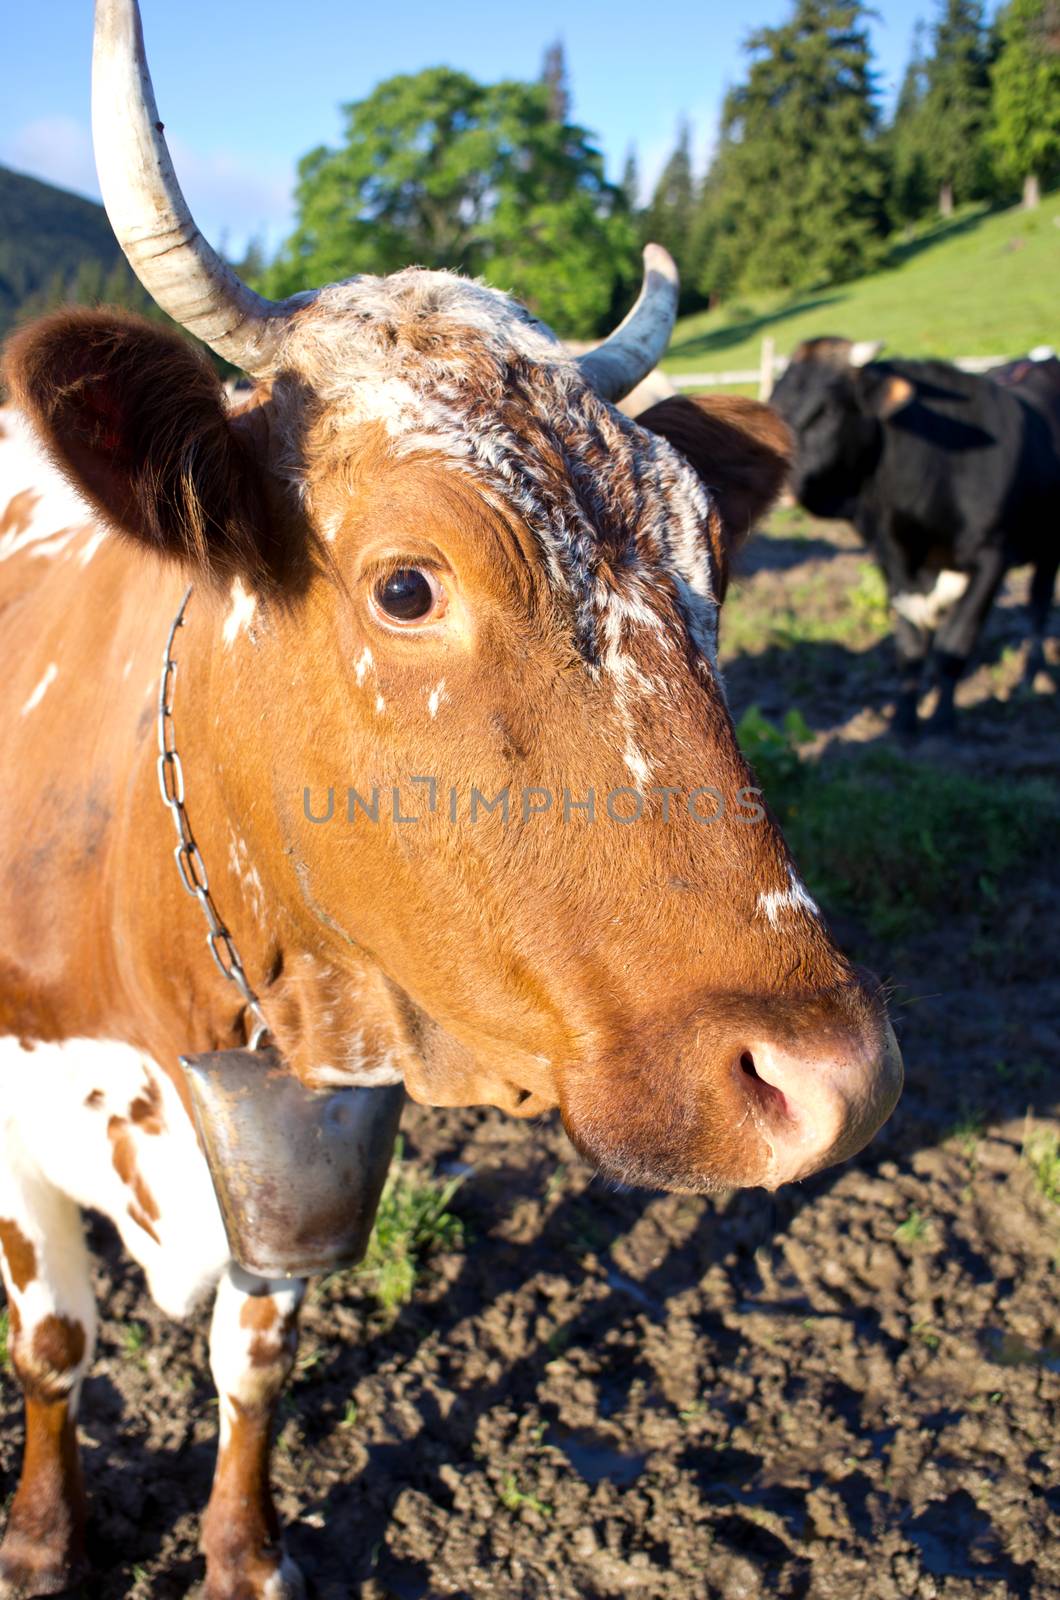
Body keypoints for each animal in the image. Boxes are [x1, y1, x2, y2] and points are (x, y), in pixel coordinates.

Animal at [0, 3, 903, 1600]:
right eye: (408, 585)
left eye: (711, 563)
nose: (830, 1080)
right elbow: (54, 1342)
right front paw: (44, 1539)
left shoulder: (311, 1144)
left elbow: (255, 1359)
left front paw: (242, 1549)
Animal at [771, 340, 1060, 739]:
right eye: (773, 400)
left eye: (825, 409)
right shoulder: (893, 564)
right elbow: (910, 648)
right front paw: (903, 720)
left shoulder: (993, 558)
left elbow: (955, 644)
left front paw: (941, 720)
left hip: (1049, 548)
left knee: (1038, 607)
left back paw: (1031, 677)